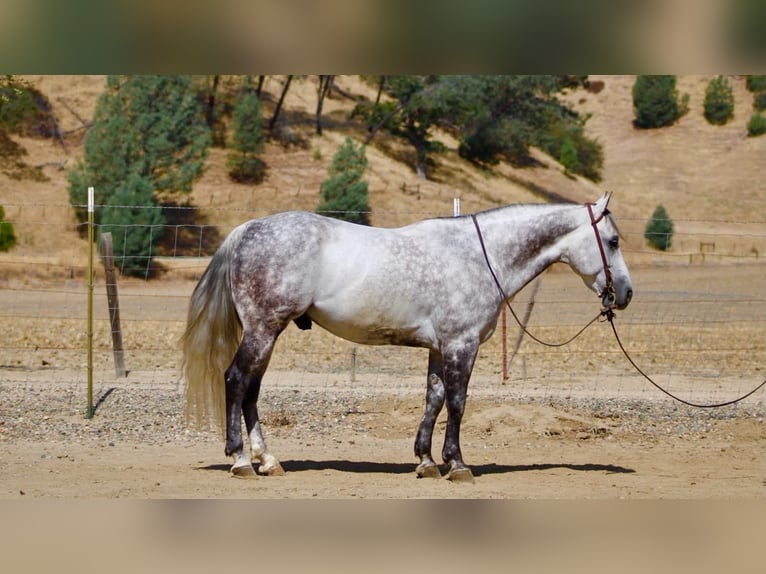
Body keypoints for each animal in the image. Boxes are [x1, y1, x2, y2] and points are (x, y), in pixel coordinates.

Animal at [182, 192, 633, 482]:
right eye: (612, 241)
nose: (626, 293)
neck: (480, 255)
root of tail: (248, 229)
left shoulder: (438, 348)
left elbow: (433, 399)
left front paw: (427, 461)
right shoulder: (461, 345)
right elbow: (457, 402)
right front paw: (457, 464)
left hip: (267, 334)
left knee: (252, 391)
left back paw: (268, 460)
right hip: (263, 330)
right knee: (236, 381)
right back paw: (241, 460)